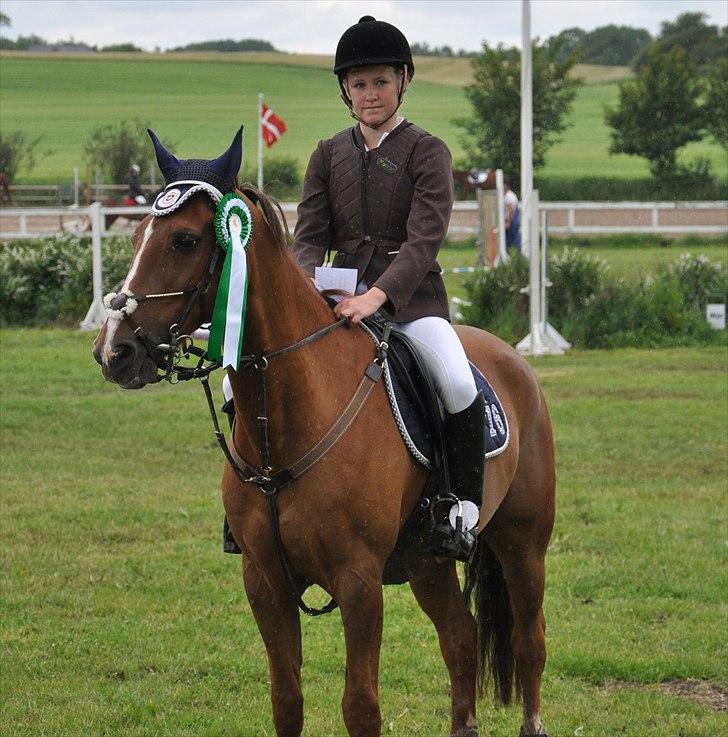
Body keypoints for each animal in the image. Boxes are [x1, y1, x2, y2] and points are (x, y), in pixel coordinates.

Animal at [93, 142, 555, 737]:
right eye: (134, 237)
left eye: (185, 240)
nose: (114, 351)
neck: (290, 424)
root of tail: (514, 360)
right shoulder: (264, 581)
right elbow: (286, 699)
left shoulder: (358, 583)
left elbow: (360, 707)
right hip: (427, 560)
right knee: (460, 635)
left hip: (523, 544)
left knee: (529, 640)